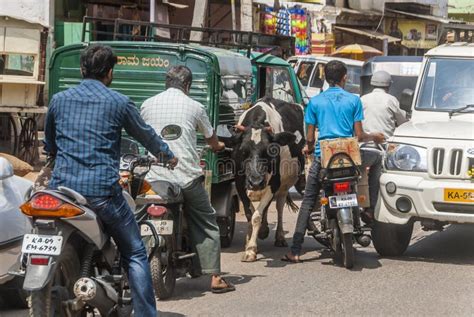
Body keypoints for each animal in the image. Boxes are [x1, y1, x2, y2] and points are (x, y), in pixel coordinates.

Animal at [225, 97, 304, 262]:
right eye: (243, 151)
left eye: (271, 150)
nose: (256, 182)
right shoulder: (240, 183)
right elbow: (250, 214)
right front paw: (249, 242)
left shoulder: (274, 183)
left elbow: (257, 216)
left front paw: (251, 250)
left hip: (284, 185)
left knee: (279, 206)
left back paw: (279, 236)